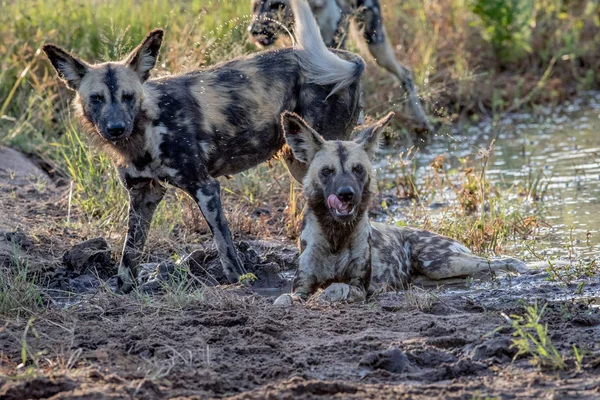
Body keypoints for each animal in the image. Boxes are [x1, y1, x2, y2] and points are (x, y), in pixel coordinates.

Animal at [42, 0, 366, 294]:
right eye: (96, 99)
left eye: (128, 96)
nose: (116, 128)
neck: (146, 128)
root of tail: (348, 57)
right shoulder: (144, 194)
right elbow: (128, 253)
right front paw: (122, 291)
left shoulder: (205, 187)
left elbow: (225, 248)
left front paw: (241, 284)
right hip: (301, 163)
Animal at [246, 0, 434, 134]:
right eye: (255, 6)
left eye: (277, 5)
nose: (253, 30)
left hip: (375, 45)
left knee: (405, 74)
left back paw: (423, 120)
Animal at [274, 111, 528, 304]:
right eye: (327, 171)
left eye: (358, 169)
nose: (346, 194)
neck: (335, 235)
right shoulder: (302, 285)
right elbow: (284, 299)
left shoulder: (359, 286)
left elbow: (338, 288)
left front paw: (327, 295)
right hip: (434, 275)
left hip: (441, 263)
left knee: (497, 261)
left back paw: (521, 269)